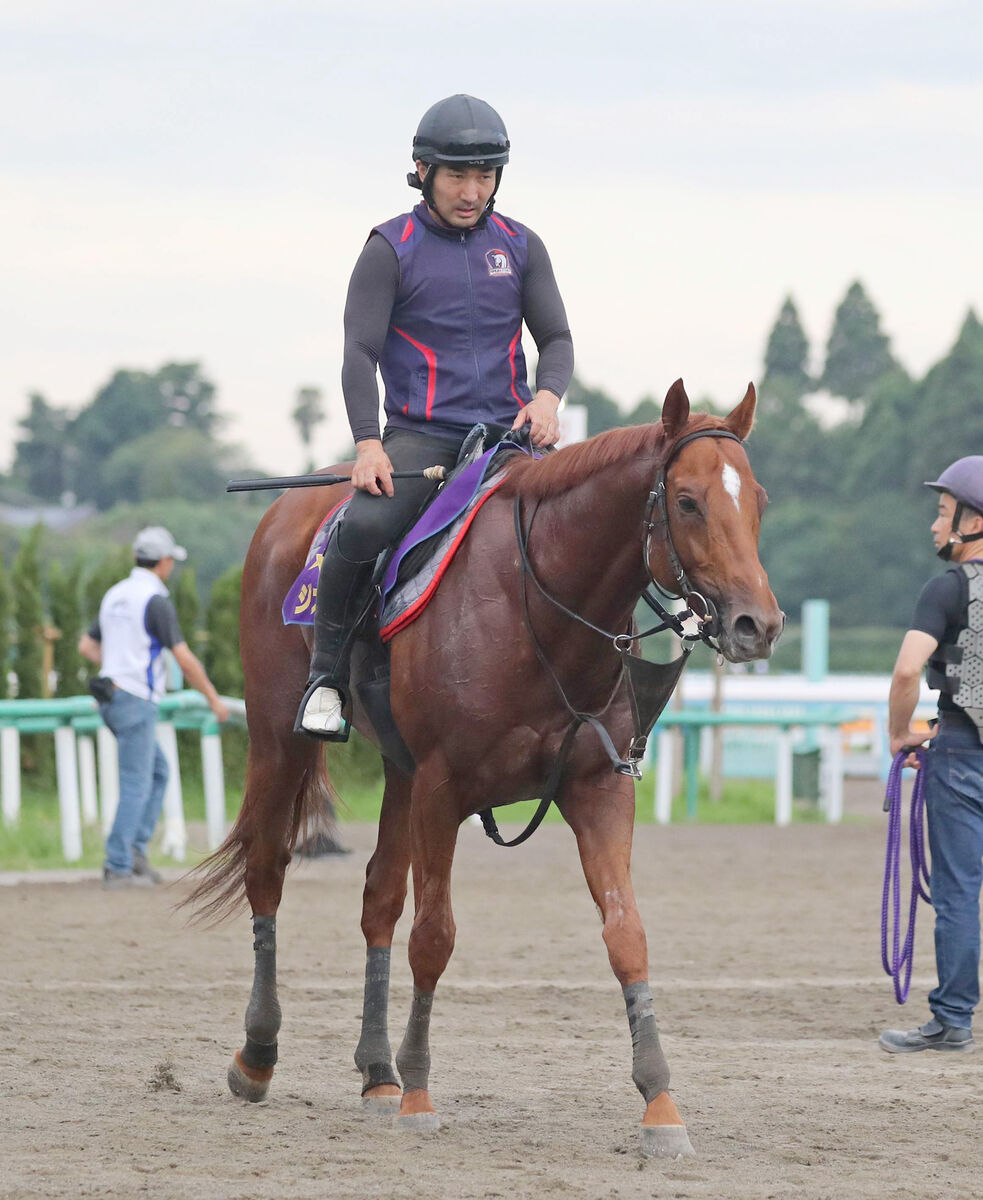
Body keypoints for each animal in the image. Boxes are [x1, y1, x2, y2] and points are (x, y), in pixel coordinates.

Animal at [186, 379, 782, 1156]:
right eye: (686, 501)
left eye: (758, 500)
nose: (756, 625)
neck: (540, 609)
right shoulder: (444, 789)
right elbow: (434, 937)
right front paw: (419, 1093)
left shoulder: (595, 789)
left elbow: (626, 935)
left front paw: (660, 1104)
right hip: (276, 739)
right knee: (267, 870)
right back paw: (258, 1056)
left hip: (398, 772)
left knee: (378, 898)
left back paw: (376, 1071)